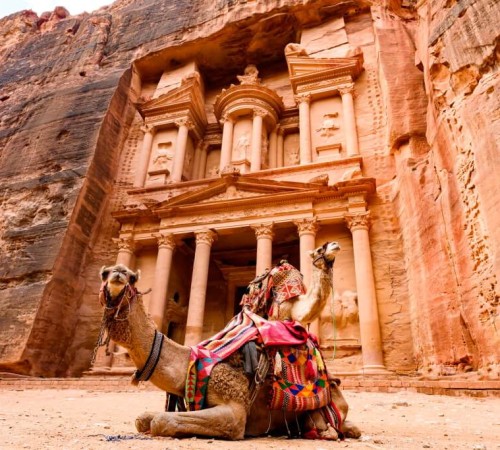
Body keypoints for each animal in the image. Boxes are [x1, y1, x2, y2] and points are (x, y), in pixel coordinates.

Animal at [95, 243, 360, 440]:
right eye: (104, 273)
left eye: (131, 277)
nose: (118, 273)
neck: (191, 361)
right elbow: (142, 419)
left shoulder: (235, 410)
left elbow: (162, 421)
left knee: (338, 424)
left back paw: (328, 430)